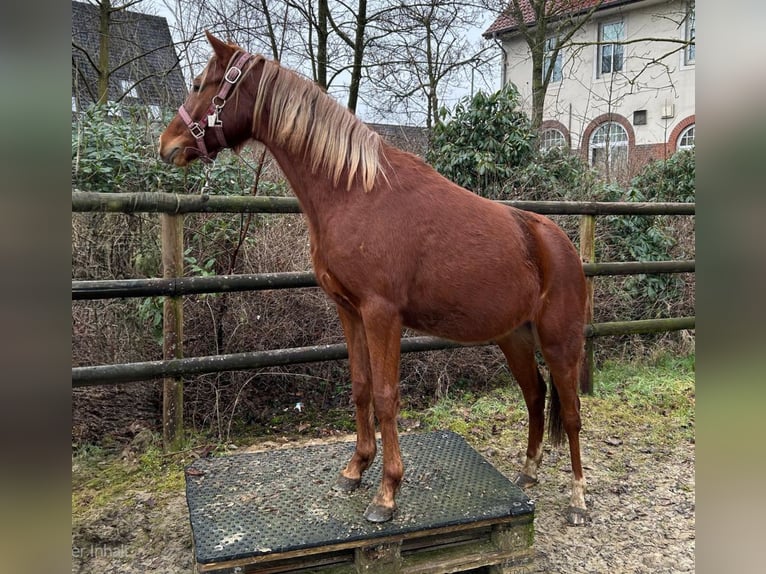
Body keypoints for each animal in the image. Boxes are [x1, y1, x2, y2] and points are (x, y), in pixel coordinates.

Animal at [159, 30, 592, 528]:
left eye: (198, 84)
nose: (166, 144)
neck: (354, 191)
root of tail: (560, 245)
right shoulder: (349, 311)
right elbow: (362, 387)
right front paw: (355, 468)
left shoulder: (381, 314)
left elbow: (386, 396)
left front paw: (387, 493)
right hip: (515, 338)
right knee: (535, 396)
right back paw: (529, 471)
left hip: (561, 343)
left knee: (572, 412)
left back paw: (578, 498)